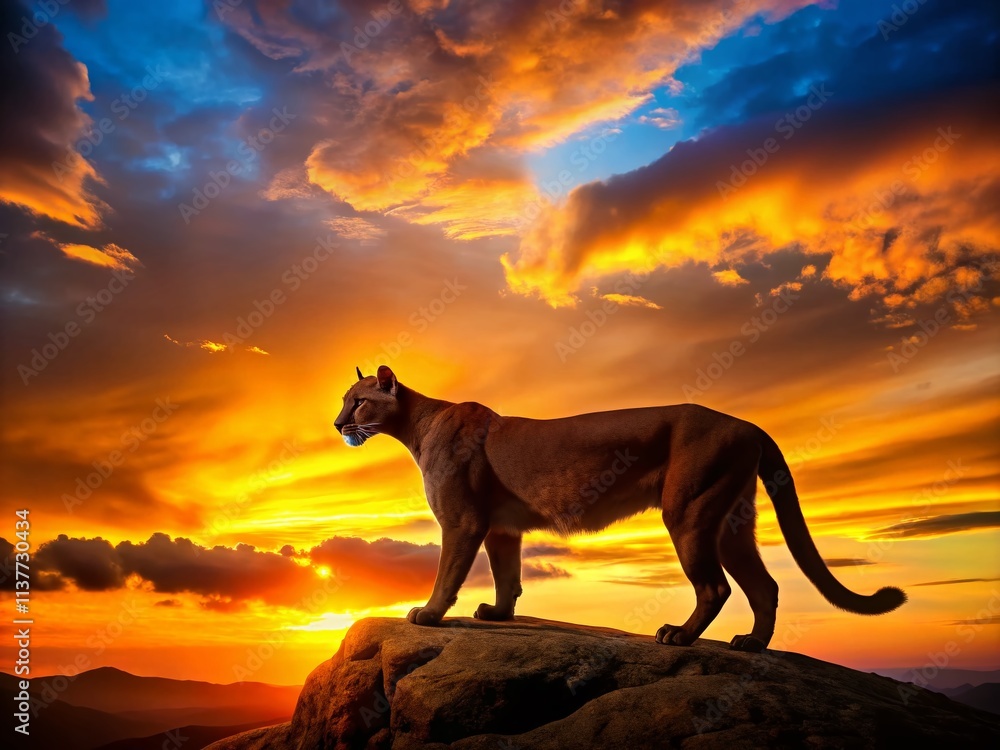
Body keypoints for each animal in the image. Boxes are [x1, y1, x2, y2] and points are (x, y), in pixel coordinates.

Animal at [334, 365, 905, 652]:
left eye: (358, 400)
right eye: (344, 400)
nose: (339, 424)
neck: (415, 424)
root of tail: (748, 424)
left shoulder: (464, 520)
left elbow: (449, 571)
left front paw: (428, 615)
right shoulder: (501, 528)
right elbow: (508, 576)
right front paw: (498, 614)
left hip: (688, 512)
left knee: (716, 586)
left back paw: (679, 636)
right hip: (731, 520)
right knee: (764, 586)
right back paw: (750, 644)